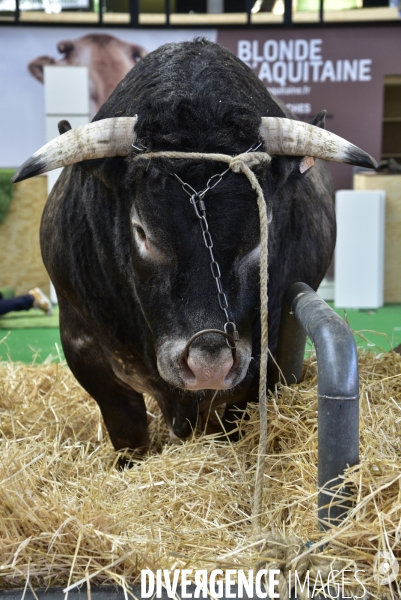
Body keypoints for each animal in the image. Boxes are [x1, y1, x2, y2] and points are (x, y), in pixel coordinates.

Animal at [13, 41, 376, 454]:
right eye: (142, 231)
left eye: (262, 231)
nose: (208, 366)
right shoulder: (85, 349)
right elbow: (128, 429)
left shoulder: (261, 363)